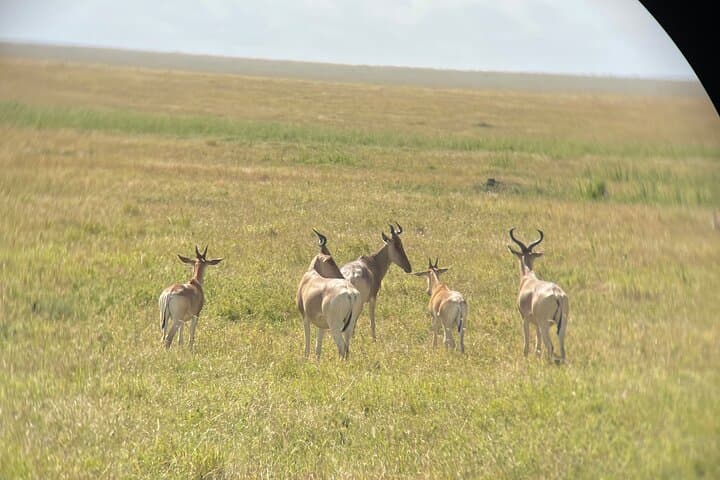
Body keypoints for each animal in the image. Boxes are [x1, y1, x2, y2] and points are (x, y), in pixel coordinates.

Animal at [296, 230, 363, 359]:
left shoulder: (305, 317)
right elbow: (318, 347)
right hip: (350, 324)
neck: (311, 276)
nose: (341, 276)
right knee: (347, 347)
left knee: (342, 347)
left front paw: (305, 359)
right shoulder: (321, 324)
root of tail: (350, 293)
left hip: (335, 326)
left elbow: (307, 343)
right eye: (330, 260)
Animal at [507, 228, 569, 363]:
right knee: (562, 347)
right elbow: (538, 341)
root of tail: (556, 293)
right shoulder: (536, 323)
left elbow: (527, 341)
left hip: (544, 324)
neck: (529, 279)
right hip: (561, 323)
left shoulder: (525, 319)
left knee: (550, 346)